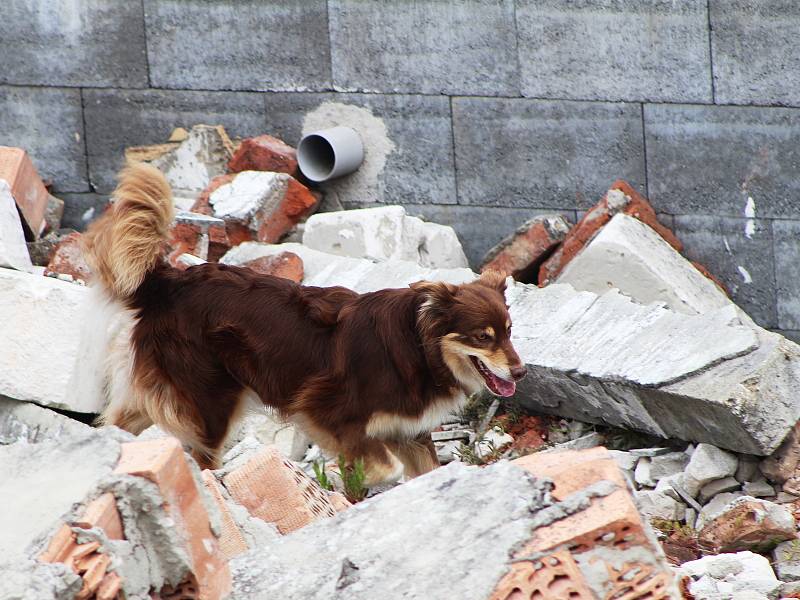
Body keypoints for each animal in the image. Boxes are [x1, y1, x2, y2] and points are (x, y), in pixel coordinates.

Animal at [84, 162, 528, 486]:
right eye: (482, 337)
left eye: (509, 331)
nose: (522, 372)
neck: (419, 347)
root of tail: (169, 282)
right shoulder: (325, 411)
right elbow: (385, 466)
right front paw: (354, 481)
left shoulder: (407, 430)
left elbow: (425, 471)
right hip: (211, 401)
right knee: (201, 454)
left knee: (121, 421)